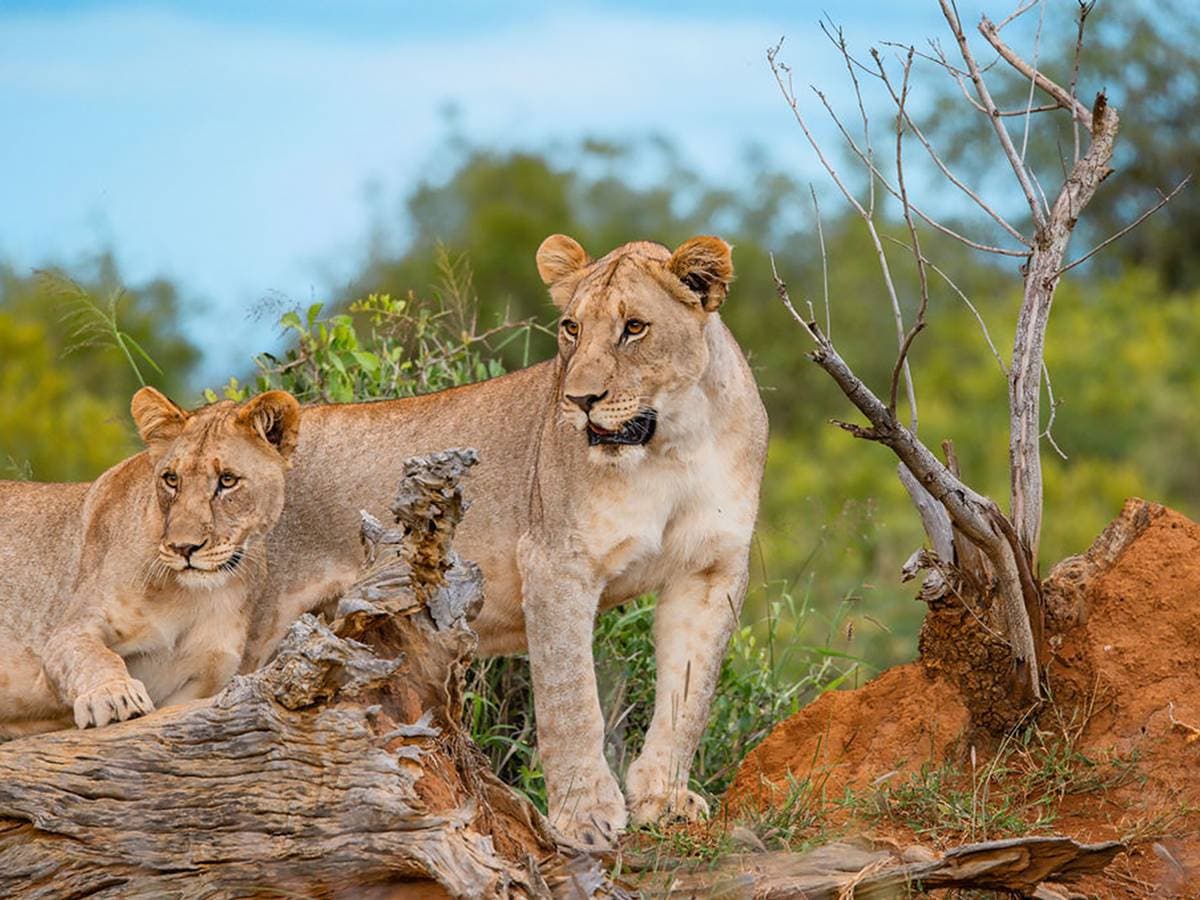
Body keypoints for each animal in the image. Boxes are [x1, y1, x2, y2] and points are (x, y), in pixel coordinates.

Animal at [0, 388, 300, 740]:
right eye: (171, 479)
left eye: (227, 480)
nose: (184, 547)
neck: (194, 597)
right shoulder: (71, 630)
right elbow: (94, 655)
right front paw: (113, 696)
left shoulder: (206, 675)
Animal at [243, 234, 767, 848]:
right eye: (571, 328)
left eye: (635, 328)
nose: (580, 400)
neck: (673, 445)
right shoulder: (556, 562)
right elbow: (571, 698)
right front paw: (585, 817)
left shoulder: (709, 570)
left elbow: (689, 696)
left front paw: (663, 801)